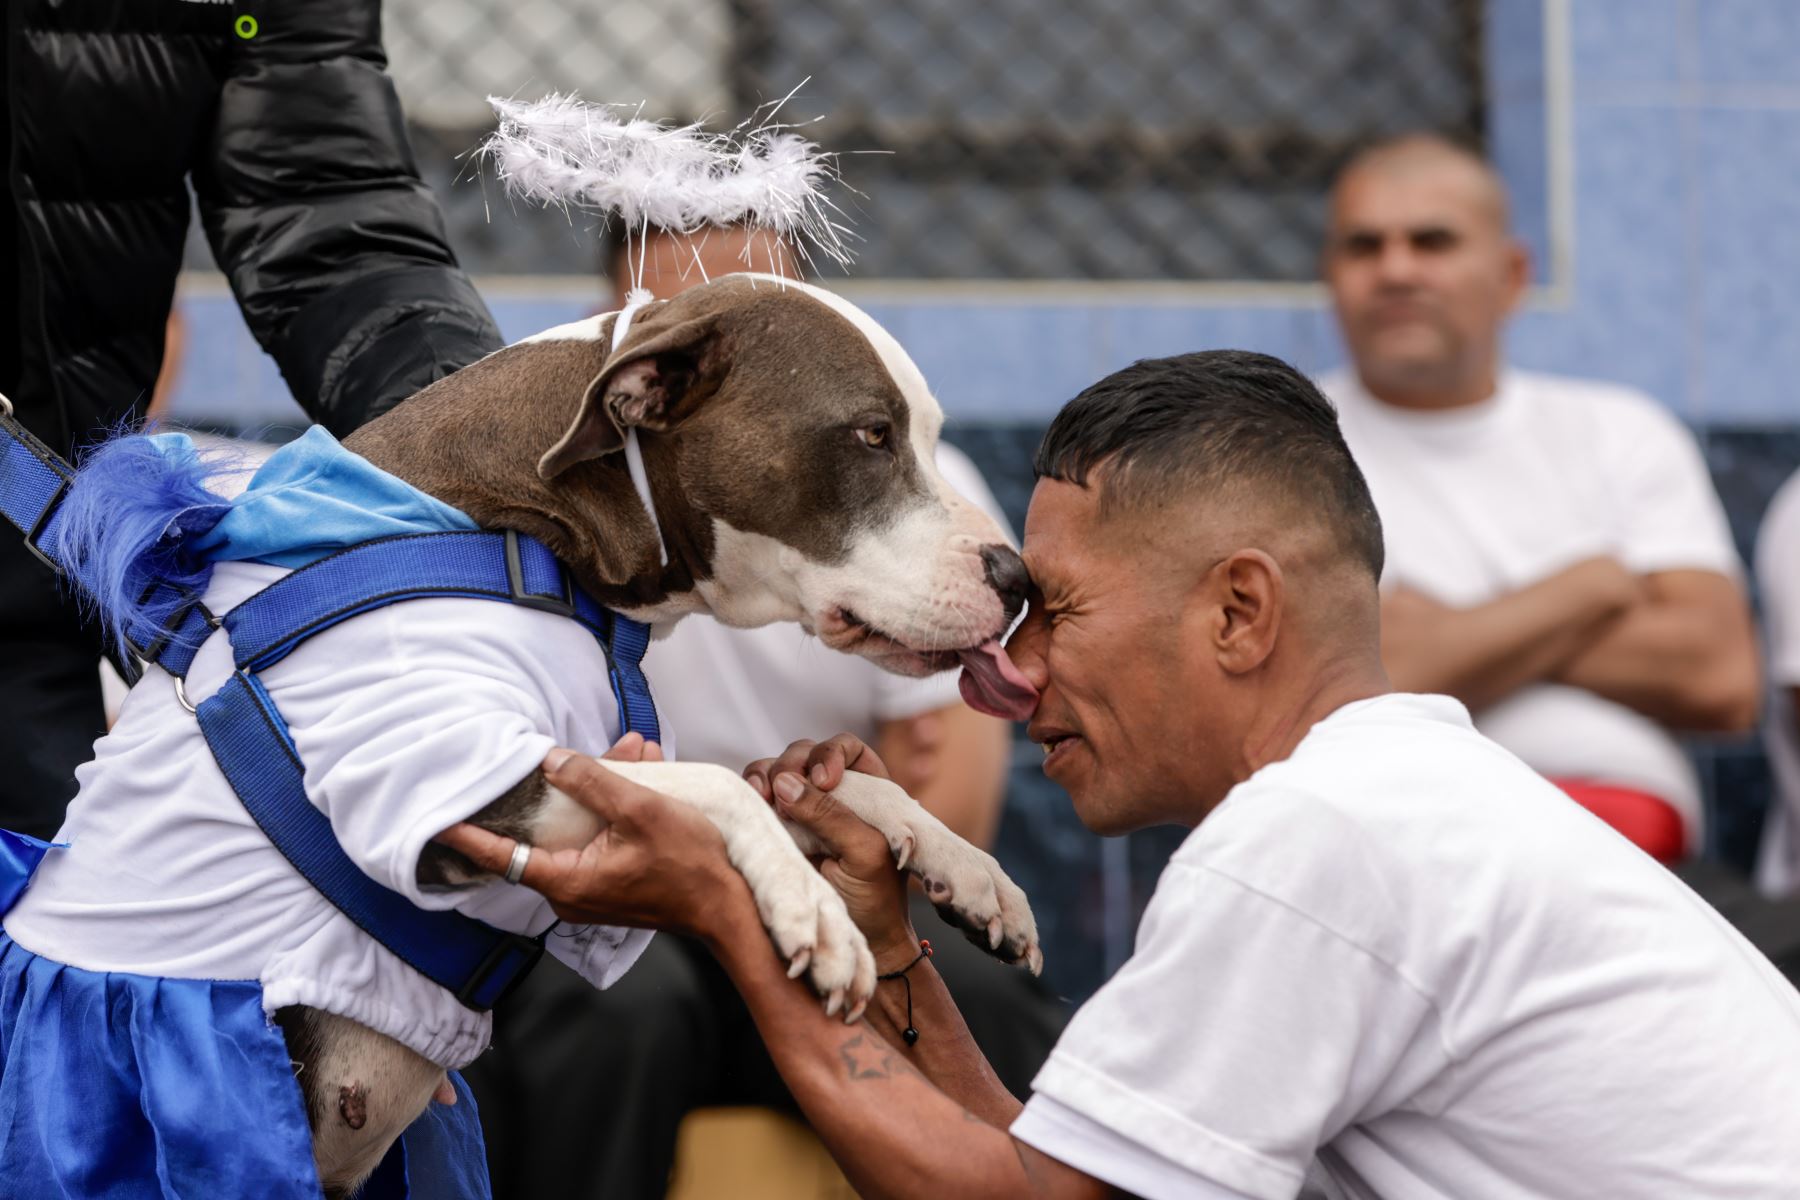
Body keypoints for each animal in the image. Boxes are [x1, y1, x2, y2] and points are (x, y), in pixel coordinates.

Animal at [277, 275, 1044, 1194]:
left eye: (929, 437)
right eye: (871, 434)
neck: (528, 522)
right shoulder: (451, 791)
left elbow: (803, 781)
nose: (1020, 577)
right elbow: (715, 784)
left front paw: (963, 866)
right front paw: (815, 910)